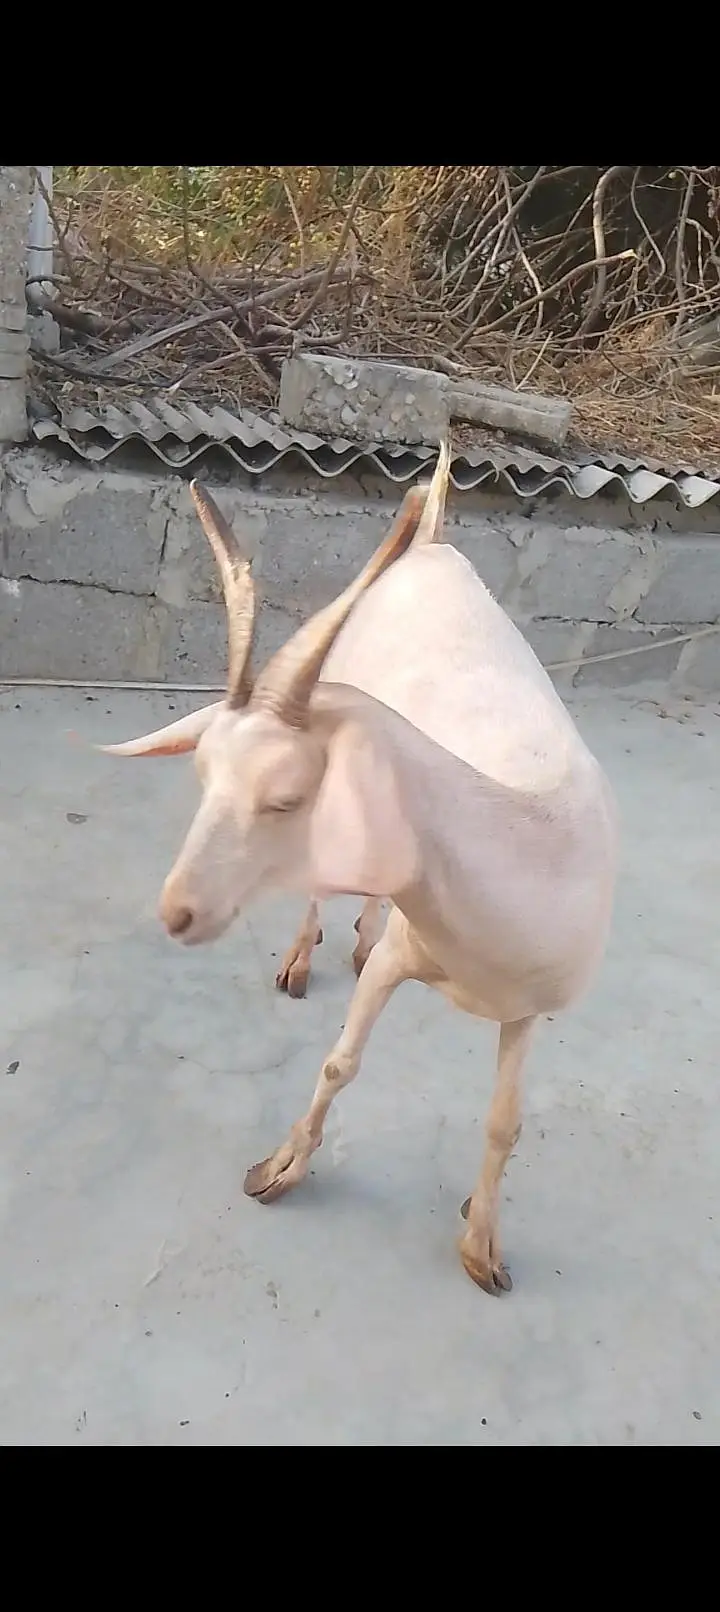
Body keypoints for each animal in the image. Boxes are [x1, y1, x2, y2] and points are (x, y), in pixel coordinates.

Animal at [101, 444, 618, 1294]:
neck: (527, 834)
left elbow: (506, 1123)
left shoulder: (530, 1009)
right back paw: (302, 959)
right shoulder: (403, 960)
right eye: (204, 773)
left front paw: (484, 1249)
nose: (177, 911)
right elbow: (341, 1061)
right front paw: (279, 1168)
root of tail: (434, 540)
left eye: (285, 797)